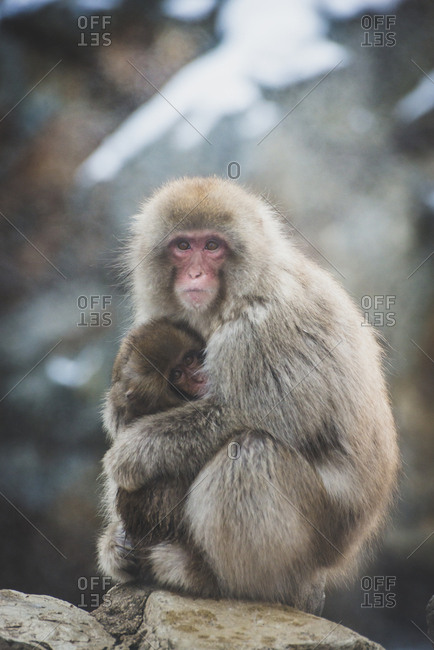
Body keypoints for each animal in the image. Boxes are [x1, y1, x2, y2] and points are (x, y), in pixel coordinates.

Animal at [99, 176, 399, 614]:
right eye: (183, 245)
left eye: (212, 245)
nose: (195, 273)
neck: (237, 293)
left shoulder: (261, 326)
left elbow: (267, 414)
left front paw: (132, 453)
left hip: (323, 537)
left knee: (252, 451)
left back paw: (219, 580)